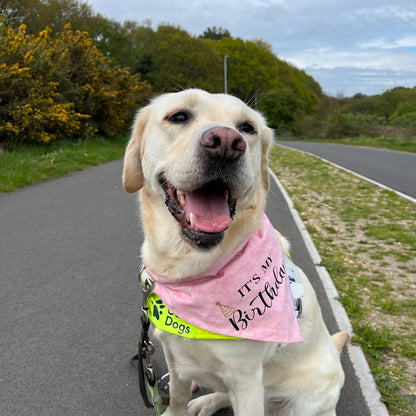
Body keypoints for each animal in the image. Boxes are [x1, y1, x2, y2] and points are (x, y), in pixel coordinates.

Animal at [122, 90, 348, 416]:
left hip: (302, 399)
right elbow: (176, 399)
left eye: (247, 128)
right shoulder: (175, 359)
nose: (227, 143)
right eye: (179, 116)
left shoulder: (247, 380)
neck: (191, 271)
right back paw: (204, 402)